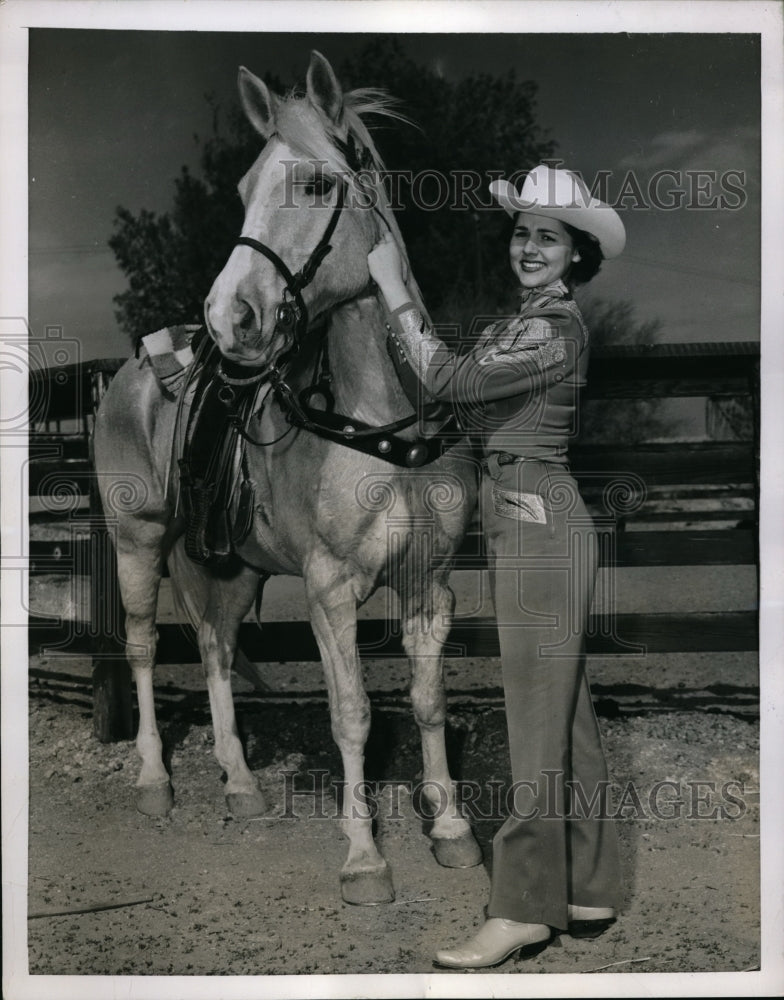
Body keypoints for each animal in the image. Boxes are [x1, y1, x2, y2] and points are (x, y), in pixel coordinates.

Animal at [94, 48, 480, 908]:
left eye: (313, 184)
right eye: (243, 190)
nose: (229, 316)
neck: (383, 423)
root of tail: (130, 374)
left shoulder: (430, 584)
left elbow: (428, 700)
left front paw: (449, 828)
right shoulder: (331, 589)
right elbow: (352, 714)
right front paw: (364, 857)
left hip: (230, 567)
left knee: (213, 645)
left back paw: (240, 783)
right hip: (138, 543)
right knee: (143, 646)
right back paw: (153, 780)